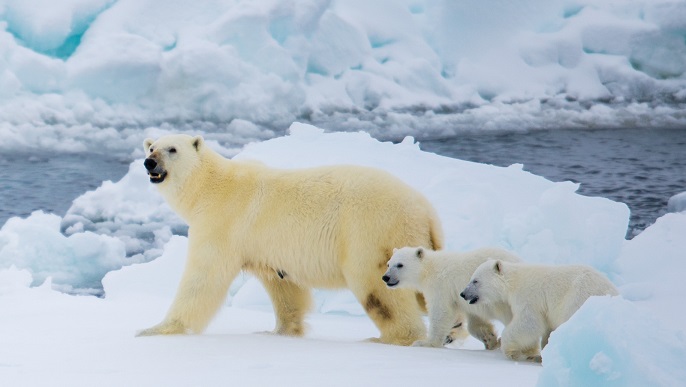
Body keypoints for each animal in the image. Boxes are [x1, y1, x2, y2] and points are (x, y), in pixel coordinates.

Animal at [138, 134, 446, 346]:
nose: (149, 162)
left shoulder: (223, 221)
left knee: (376, 287)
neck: (209, 186)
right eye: (152, 147)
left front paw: (155, 329)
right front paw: (280, 331)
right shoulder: (265, 246)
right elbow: (282, 285)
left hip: (371, 231)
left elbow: (203, 277)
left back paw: (389, 338)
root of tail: (427, 212)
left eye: (172, 149)